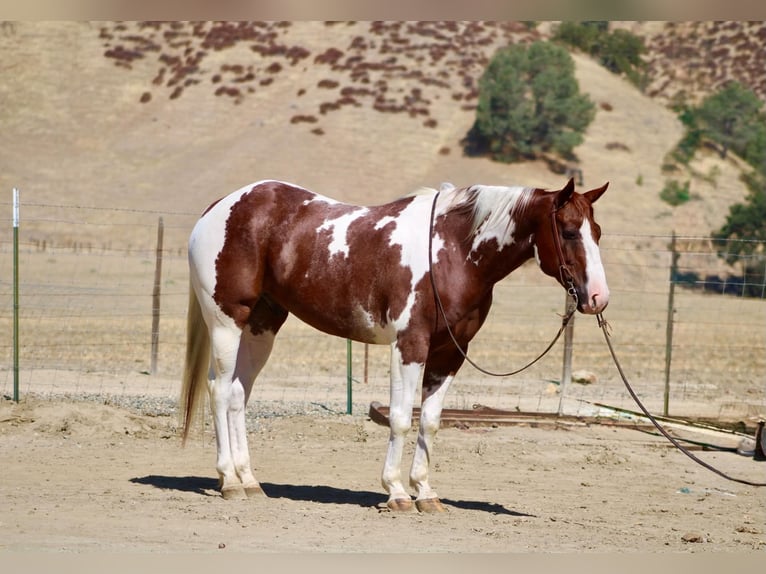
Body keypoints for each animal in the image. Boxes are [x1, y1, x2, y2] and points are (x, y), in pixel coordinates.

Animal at [180, 177, 609, 511]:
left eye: (597, 232)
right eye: (570, 231)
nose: (598, 298)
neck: (452, 251)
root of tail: (219, 208)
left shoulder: (450, 354)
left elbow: (430, 422)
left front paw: (426, 493)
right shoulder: (410, 345)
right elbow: (402, 418)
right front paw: (397, 492)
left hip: (262, 325)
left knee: (239, 394)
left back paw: (249, 480)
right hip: (227, 322)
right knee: (220, 390)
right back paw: (229, 481)